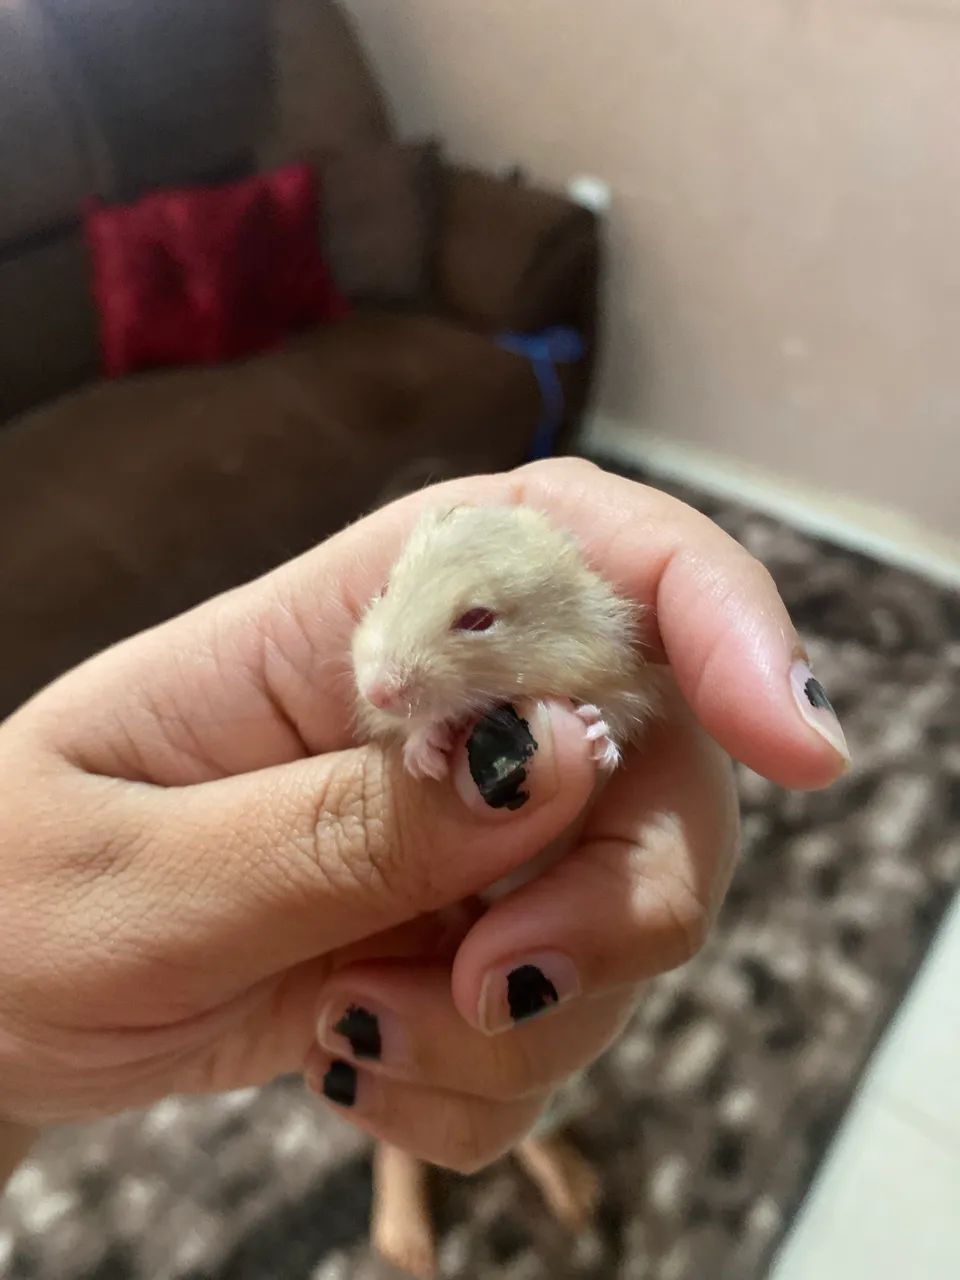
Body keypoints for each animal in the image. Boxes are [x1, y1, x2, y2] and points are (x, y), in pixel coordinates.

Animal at [351, 503, 659, 780]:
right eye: (384, 589)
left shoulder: (621, 674)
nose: (374, 695)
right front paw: (426, 762)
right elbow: (414, 725)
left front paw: (595, 732)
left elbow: (618, 712)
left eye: (478, 619)